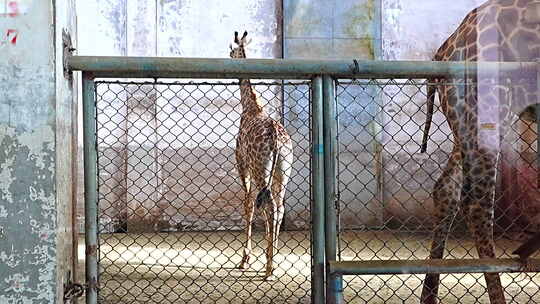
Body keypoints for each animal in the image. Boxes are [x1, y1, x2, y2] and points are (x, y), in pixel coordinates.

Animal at [229, 30, 294, 280]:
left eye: (231, 52)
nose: (229, 60)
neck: (251, 106)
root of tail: (276, 138)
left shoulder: (242, 164)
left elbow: (247, 204)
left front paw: (244, 259)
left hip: (260, 169)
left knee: (269, 206)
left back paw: (268, 268)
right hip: (283, 172)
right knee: (279, 207)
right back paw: (272, 259)